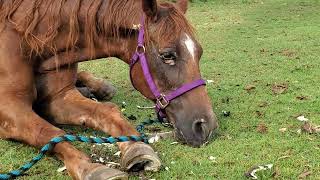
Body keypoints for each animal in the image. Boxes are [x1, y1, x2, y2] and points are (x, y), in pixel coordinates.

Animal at [0, 0, 218, 179]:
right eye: (167, 55)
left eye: (199, 52)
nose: (206, 126)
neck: (30, 37)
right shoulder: (10, 108)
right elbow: (49, 133)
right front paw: (89, 167)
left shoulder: (59, 97)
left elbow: (106, 112)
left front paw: (136, 147)